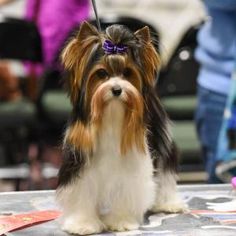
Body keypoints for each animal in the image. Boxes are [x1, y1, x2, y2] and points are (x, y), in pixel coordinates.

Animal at [55, 21, 186, 234]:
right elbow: (83, 192)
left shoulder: (132, 166)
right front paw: (83, 224)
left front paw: (121, 221)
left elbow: (126, 190)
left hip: (162, 141)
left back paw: (168, 203)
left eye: (127, 73)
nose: (117, 89)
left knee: (165, 171)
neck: (112, 116)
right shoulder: (80, 161)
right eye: (102, 73)